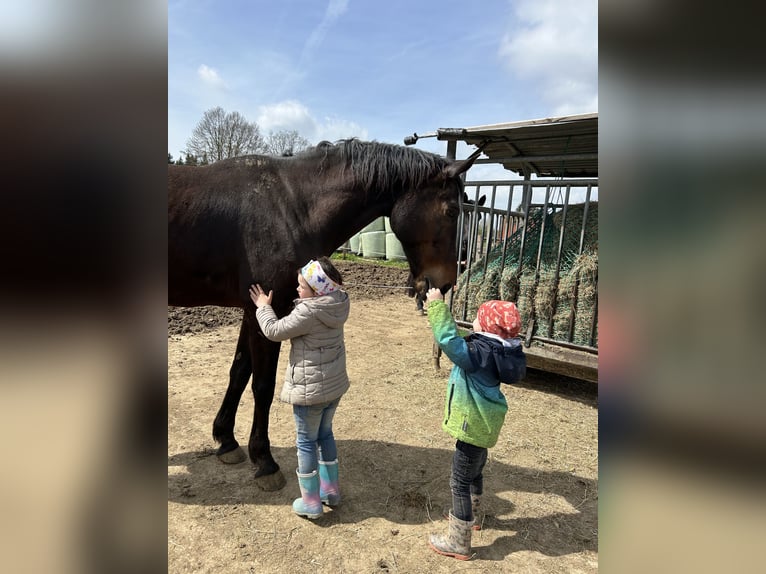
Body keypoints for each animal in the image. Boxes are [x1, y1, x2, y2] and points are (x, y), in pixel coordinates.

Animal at [170, 140, 480, 490]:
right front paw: (264, 459)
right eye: (451, 211)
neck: (290, 203)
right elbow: (262, 385)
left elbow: (239, 373)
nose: (446, 282)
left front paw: (226, 440)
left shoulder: (254, 311)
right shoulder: (269, 310)